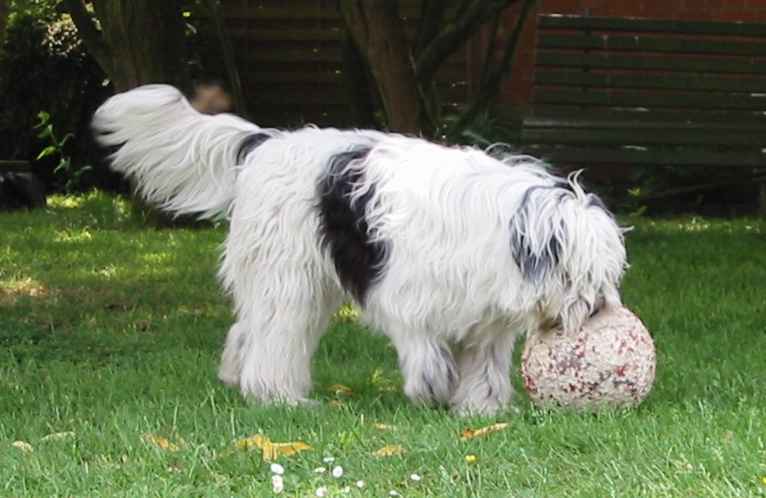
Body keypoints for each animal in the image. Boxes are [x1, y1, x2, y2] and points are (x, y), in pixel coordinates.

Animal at [93, 83, 628, 414]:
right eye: (577, 276)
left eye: (608, 278)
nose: (600, 308)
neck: (505, 229)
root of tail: (265, 142)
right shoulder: (406, 296)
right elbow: (424, 347)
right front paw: (433, 389)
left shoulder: (485, 318)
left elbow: (485, 365)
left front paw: (481, 408)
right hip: (290, 277)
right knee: (276, 335)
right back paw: (278, 395)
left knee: (250, 328)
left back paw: (237, 377)